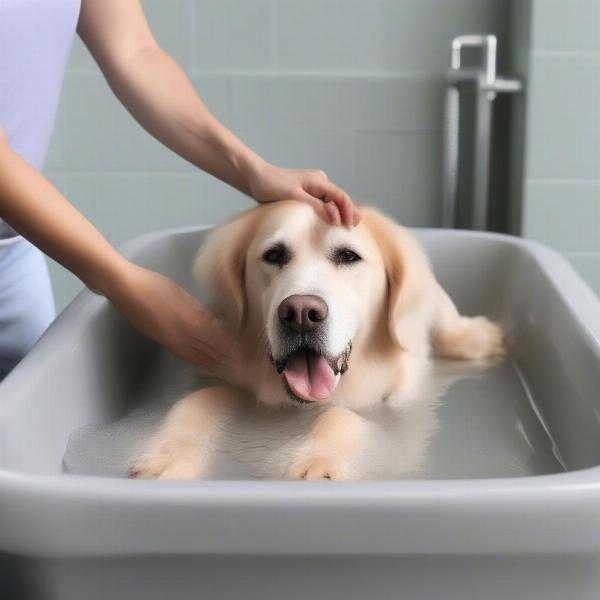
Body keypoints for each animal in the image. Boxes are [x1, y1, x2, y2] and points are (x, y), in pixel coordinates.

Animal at [130, 204, 502, 480]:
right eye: (274, 255)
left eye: (348, 256)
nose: (301, 313)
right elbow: (197, 400)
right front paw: (165, 455)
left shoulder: (396, 415)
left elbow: (340, 416)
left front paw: (317, 463)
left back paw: (480, 338)